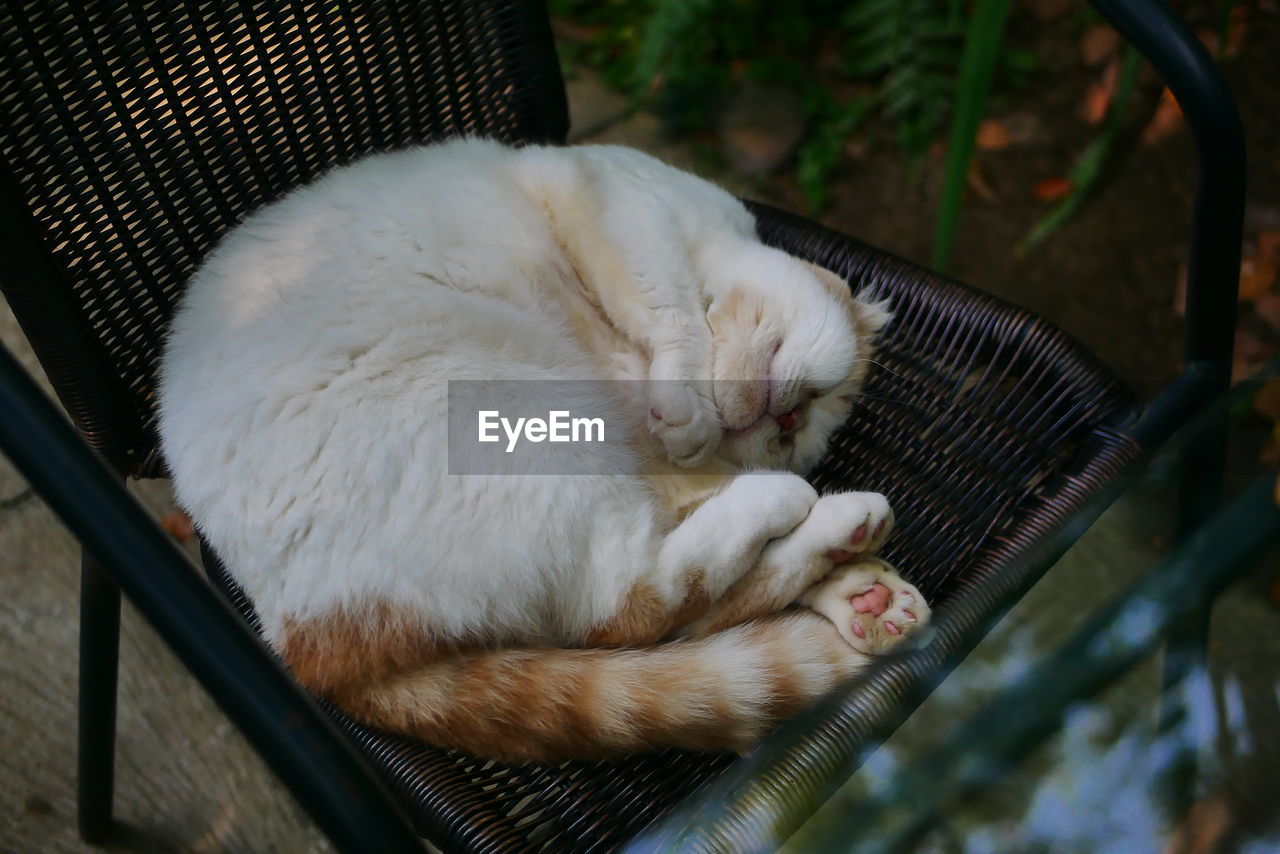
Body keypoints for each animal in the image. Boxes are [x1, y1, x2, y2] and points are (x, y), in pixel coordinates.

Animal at [160, 136, 931, 763]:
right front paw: (688, 403)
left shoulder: (656, 461)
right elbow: (673, 312)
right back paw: (809, 510)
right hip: (522, 417)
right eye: (814, 404)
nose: (787, 420)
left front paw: (859, 588)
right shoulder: (624, 210)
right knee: (637, 605)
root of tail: (301, 647)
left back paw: (855, 567)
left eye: (798, 432)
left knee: (657, 612)